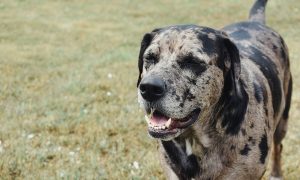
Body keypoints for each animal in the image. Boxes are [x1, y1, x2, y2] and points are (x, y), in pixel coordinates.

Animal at [137, 0, 292, 179]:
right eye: (150, 58)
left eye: (192, 61)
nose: (149, 88)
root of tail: (255, 21)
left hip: (282, 121)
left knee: (279, 146)